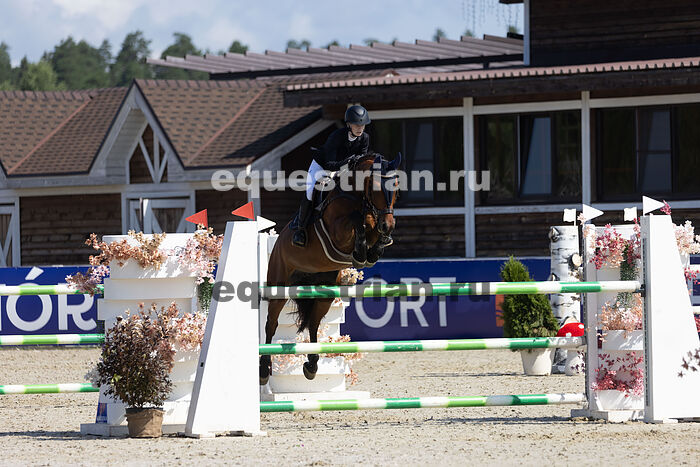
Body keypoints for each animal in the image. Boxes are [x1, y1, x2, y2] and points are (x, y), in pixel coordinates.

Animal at [260, 151, 401, 384]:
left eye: (397, 186)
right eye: (376, 186)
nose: (387, 224)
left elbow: (372, 229)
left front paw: (374, 249)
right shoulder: (338, 230)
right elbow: (358, 221)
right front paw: (360, 254)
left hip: (325, 291)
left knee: (313, 324)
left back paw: (311, 366)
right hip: (279, 286)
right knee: (271, 325)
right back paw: (263, 370)